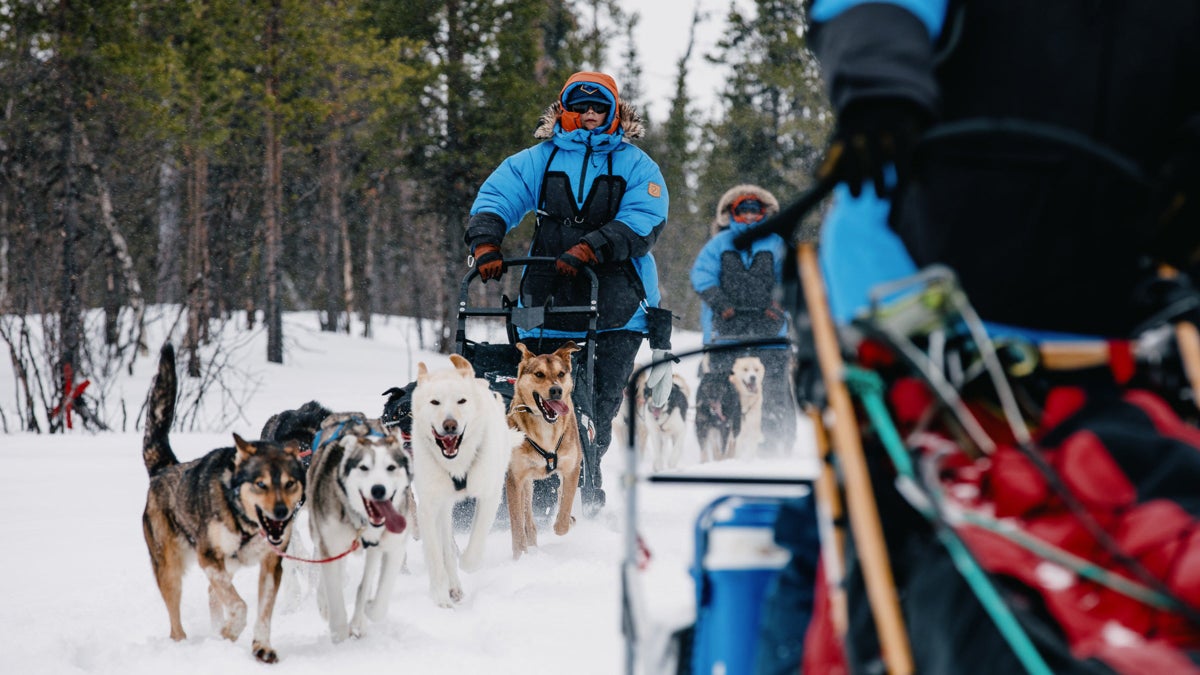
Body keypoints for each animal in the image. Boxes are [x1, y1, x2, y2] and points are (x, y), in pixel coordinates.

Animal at [139, 343, 304, 658]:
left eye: (290, 484)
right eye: (261, 484)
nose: (280, 512)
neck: (245, 522)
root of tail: (165, 468)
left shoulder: (270, 565)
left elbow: (263, 611)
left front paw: (261, 646)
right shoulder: (209, 556)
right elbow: (240, 605)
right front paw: (230, 632)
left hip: (226, 565)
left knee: (212, 593)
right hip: (170, 568)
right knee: (177, 618)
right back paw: (184, 643)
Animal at [304, 413, 412, 638]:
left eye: (391, 467)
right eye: (364, 468)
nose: (378, 489)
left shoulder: (394, 546)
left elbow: (378, 597)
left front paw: (367, 611)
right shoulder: (330, 541)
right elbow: (334, 591)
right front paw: (339, 631)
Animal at [410, 355, 523, 607]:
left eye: (461, 401)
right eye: (435, 402)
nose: (450, 425)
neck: (457, 465)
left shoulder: (490, 495)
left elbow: (476, 541)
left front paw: (468, 564)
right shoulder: (428, 508)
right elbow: (436, 555)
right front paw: (440, 597)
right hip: (443, 507)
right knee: (446, 548)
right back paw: (452, 586)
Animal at [504, 341, 583, 557]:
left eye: (561, 374)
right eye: (539, 374)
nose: (556, 390)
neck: (545, 427)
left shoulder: (572, 467)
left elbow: (565, 504)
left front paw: (563, 524)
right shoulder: (515, 477)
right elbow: (517, 524)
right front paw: (519, 556)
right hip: (525, 482)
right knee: (527, 518)